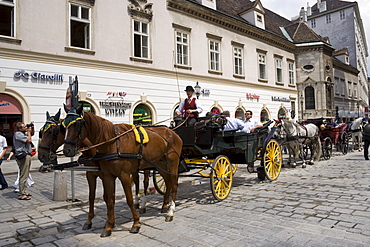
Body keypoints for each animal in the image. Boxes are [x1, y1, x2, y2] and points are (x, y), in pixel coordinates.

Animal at [62, 105, 184, 236]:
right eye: (63, 125)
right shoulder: (107, 175)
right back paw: (164, 206)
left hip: (173, 162)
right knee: (168, 182)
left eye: (78, 124)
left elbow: (129, 199)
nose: (67, 150)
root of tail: (172, 132)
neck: (113, 143)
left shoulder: (124, 175)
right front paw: (109, 226)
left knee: (174, 184)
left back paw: (170, 211)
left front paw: (136, 223)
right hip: (158, 163)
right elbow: (110, 200)